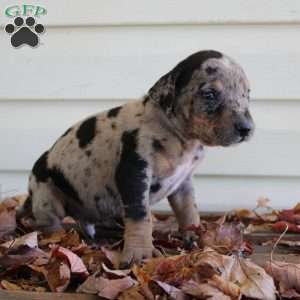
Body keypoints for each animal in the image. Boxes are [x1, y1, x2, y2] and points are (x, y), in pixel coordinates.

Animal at [19, 49, 254, 268]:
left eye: (247, 94)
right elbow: (140, 216)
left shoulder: (183, 182)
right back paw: (58, 239)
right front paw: (139, 253)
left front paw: (196, 236)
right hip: (47, 197)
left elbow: (189, 210)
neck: (178, 138)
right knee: (50, 224)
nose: (246, 129)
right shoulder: (134, 172)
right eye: (209, 94)